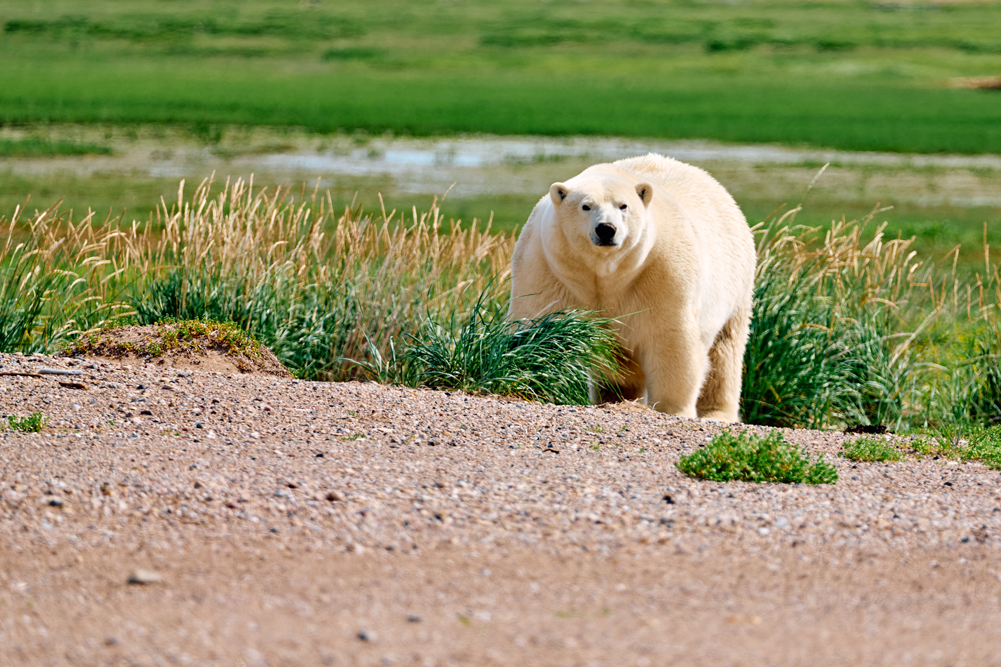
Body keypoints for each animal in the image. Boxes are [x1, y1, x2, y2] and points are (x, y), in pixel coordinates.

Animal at [507, 153, 755, 422]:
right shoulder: (546, 268)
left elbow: (672, 339)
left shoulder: (661, 271)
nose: (606, 229)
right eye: (586, 206)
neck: (604, 273)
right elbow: (536, 326)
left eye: (623, 206)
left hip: (736, 284)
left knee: (725, 351)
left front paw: (673, 409)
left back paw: (717, 413)